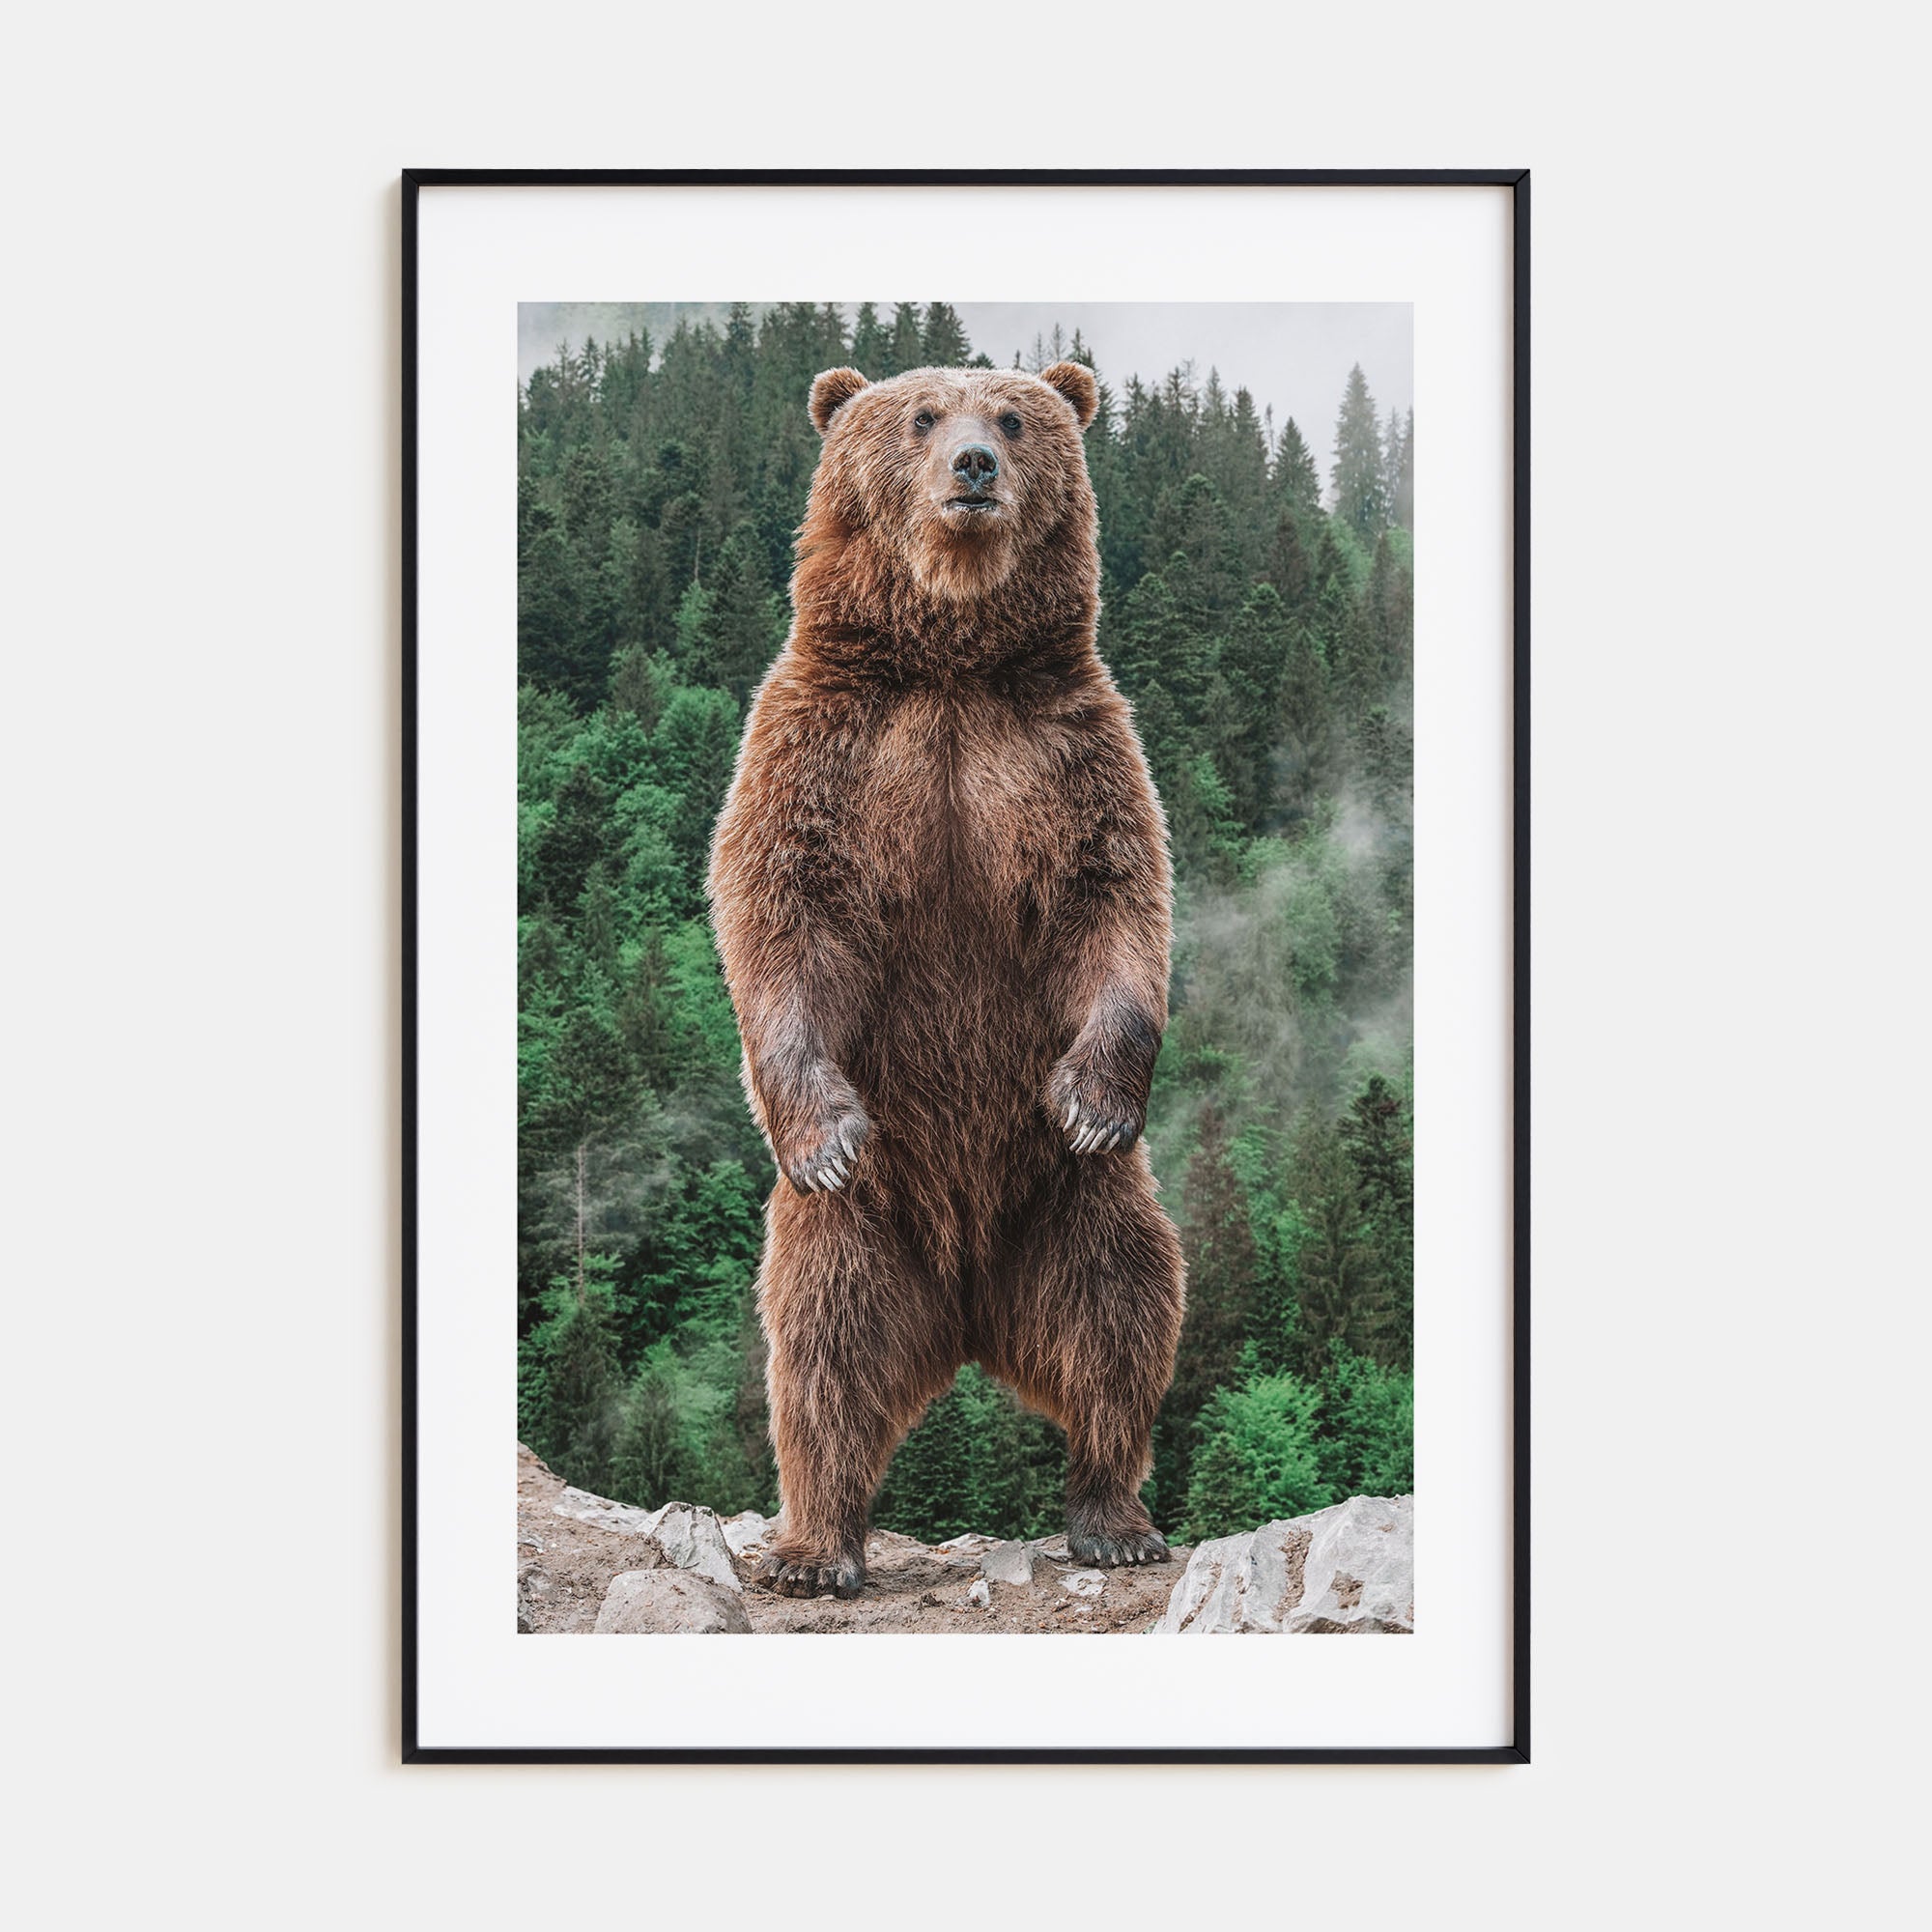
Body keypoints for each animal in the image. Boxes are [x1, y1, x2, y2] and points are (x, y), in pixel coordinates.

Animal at [705, 358, 1185, 1599]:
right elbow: (779, 909)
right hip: (863, 1227)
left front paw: (1092, 1097)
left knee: (1122, 1310)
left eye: (1013, 417)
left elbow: (1115, 904)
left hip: (1071, 1203)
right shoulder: (825, 746)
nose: (972, 465)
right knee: (819, 1348)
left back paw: (1112, 1514)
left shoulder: (1067, 750)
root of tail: (967, 1309)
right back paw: (814, 1546)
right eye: (921, 416)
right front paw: (821, 1128)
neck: (951, 662)